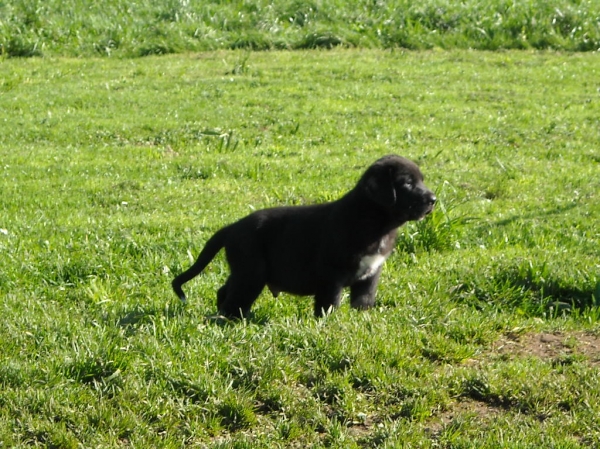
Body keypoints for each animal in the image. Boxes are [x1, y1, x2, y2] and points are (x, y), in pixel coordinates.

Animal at [172, 156, 436, 316]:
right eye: (407, 184)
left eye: (421, 181)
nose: (433, 199)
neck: (377, 223)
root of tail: (232, 226)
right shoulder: (331, 275)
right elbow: (329, 304)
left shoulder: (370, 275)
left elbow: (363, 302)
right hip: (251, 271)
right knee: (235, 298)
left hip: (245, 271)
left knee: (226, 292)